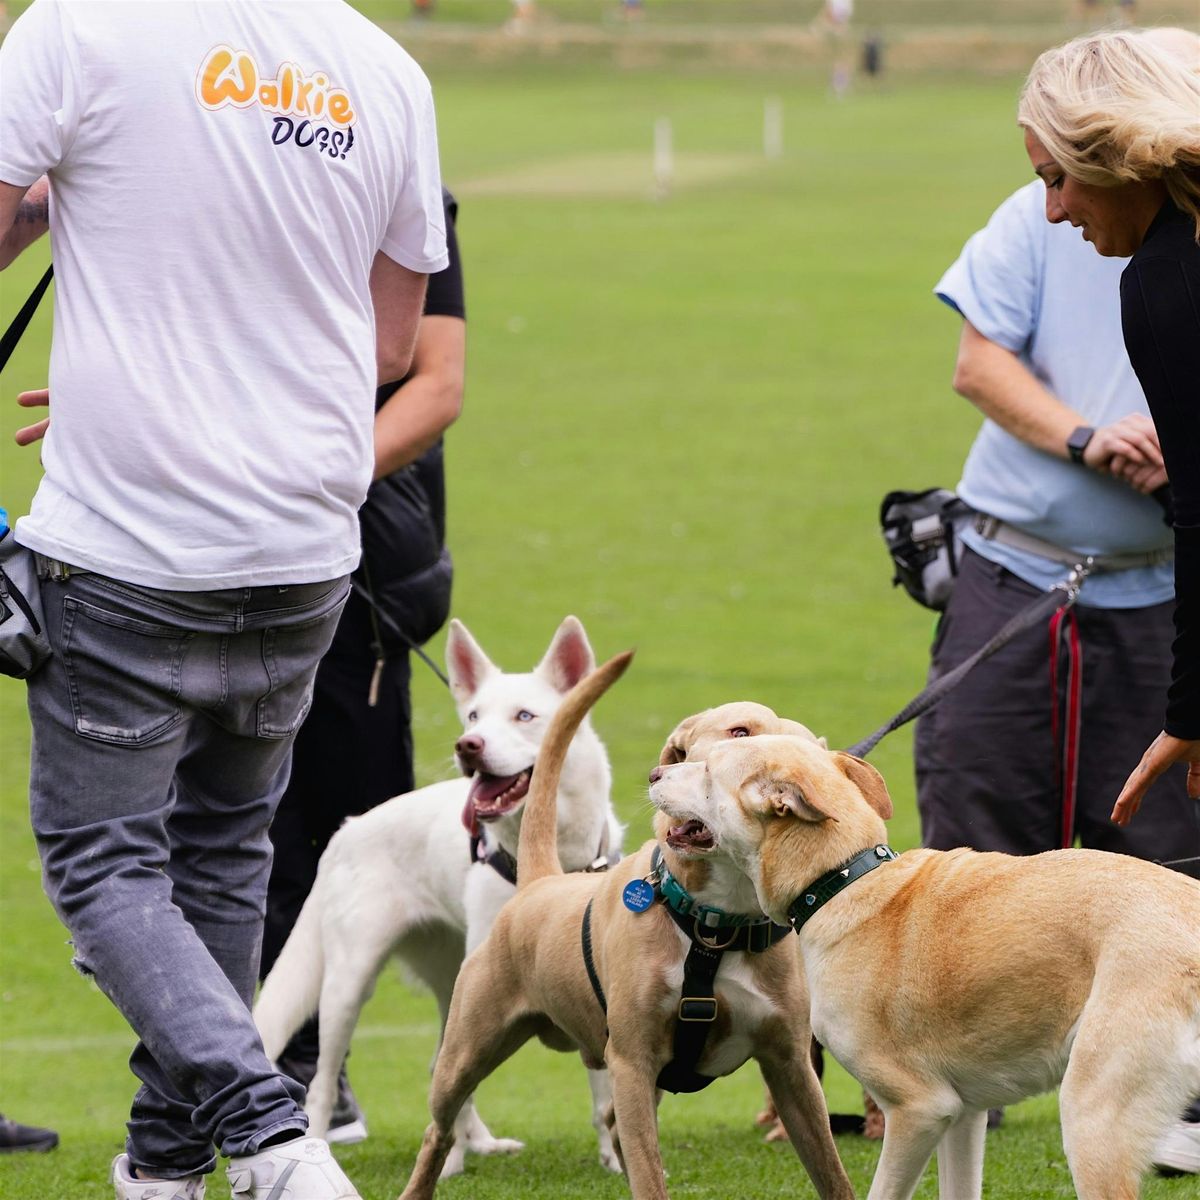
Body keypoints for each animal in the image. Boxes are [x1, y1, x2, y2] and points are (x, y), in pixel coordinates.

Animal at [256, 614, 624, 1176]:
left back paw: (479, 1144)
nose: (467, 744)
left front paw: (612, 1158)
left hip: (452, 979)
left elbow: (603, 1087)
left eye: (524, 716)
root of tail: (347, 831)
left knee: (444, 1066)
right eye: (473, 714)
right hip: (350, 985)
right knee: (325, 1083)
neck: (552, 850)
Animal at [400, 667, 854, 1200]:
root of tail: (540, 883)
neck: (714, 930)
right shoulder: (633, 1062)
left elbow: (831, 1171)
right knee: (439, 1128)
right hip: (466, 1051)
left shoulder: (791, 1067)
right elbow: (647, 1173)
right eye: (739, 731)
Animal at [652, 729, 1200, 1200]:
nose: (654, 774)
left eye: (709, 769)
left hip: (1092, 1120)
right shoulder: (967, 1117)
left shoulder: (920, 1112)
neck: (842, 881)